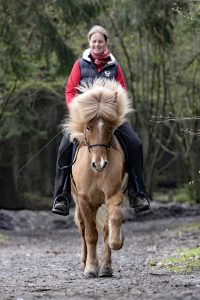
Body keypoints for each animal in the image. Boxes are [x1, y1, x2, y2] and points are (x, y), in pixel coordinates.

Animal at [62, 78, 131, 278]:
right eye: (88, 127)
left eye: (109, 127)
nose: (99, 164)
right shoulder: (85, 200)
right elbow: (91, 234)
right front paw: (91, 268)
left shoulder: (114, 195)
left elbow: (111, 224)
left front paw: (107, 263)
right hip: (77, 201)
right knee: (83, 229)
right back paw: (84, 261)